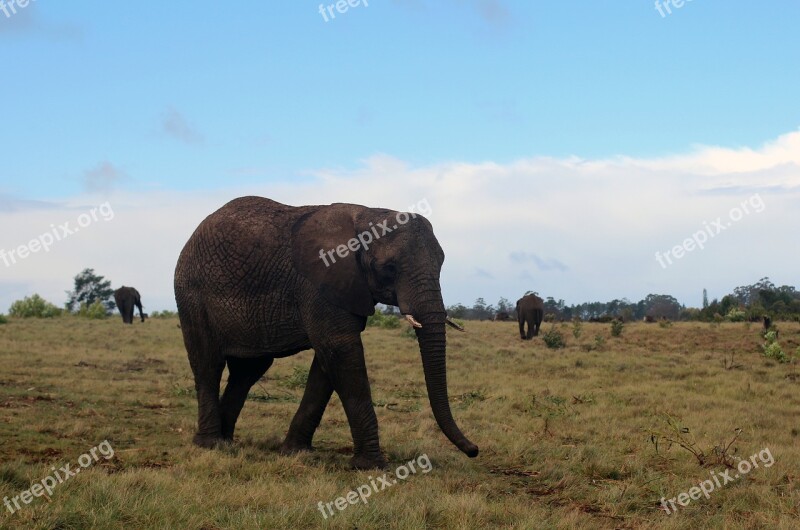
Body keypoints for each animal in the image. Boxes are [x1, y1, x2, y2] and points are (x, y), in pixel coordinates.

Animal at [173, 196, 476, 468]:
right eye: (388, 268)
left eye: (442, 263)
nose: (474, 451)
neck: (367, 215)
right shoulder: (319, 285)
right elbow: (341, 351)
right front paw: (371, 465)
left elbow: (326, 364)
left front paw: (295, 452)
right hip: (191, 295)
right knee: (208, 363)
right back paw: (210, 444)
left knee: (248, 371)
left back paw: (227, 441)